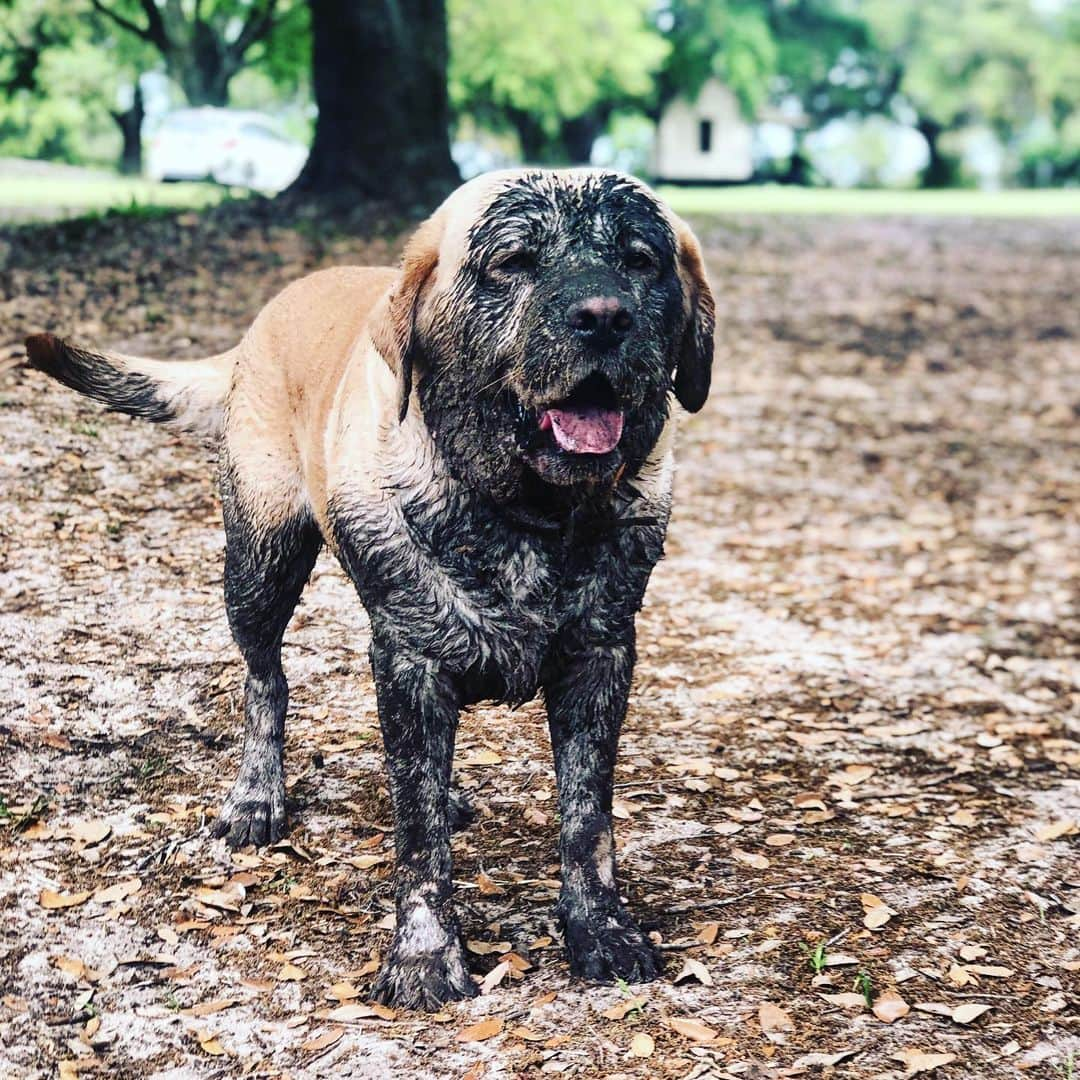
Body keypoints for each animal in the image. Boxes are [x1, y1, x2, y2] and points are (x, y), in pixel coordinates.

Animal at [25, 164, 712, 1006]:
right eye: (514, 261)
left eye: (641, 261)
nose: (605, 317)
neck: (525, 517)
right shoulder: (409, 659)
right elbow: (418, 837)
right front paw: (424, 955)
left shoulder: (600, 660)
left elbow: (588, 820)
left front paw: (600, 929)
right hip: (260, 561)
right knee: (265, 679)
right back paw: (257, 795)